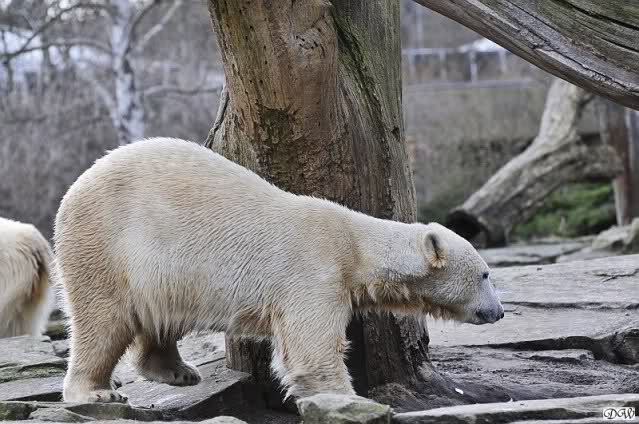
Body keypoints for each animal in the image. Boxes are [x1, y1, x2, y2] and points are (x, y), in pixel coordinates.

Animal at [54, 137, 503, 403]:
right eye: (485, 274)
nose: (498, 311)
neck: (354, 245)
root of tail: (74, 188)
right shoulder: (314, 272)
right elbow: (311, 348)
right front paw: (350, 399)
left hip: (156, 272)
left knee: (159, 316)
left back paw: (177, 371)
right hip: (106, 244)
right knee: (103, 320)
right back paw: (94, 392)